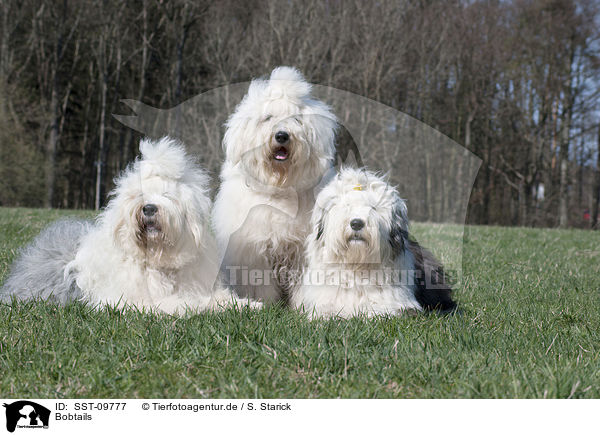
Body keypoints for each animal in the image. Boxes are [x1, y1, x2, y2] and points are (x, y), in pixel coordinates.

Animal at [0, 138, 255, 316]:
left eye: (167, 195)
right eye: (139, 195)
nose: (149, 208)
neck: (157, 262)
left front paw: (249, 305)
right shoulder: (131, 301)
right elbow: (179, 303)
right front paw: (200, 305)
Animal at [214, 66, 338, 304]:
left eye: (296, 119)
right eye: (267, 118)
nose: (282, 135)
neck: (279, 189)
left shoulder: (301, 250)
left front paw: (302, 304)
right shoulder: (254, 249)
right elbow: (260, 283)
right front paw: (267, 304)